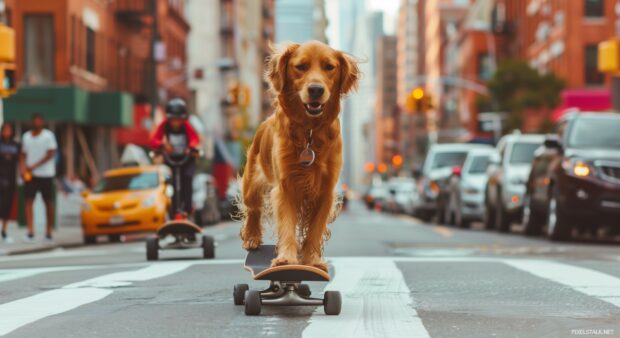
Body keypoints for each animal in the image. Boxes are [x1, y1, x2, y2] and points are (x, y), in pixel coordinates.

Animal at [240, 40, 360, 272]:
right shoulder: (285, 186)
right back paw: (251, 237)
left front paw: (312, 260)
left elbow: (315, 229)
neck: (310, 132)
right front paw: (286, 259)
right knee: (253, 208)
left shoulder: (325, 190)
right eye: (301, 67)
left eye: (329, 67)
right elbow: (287, 224)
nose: (316, 90)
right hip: (251, 181)